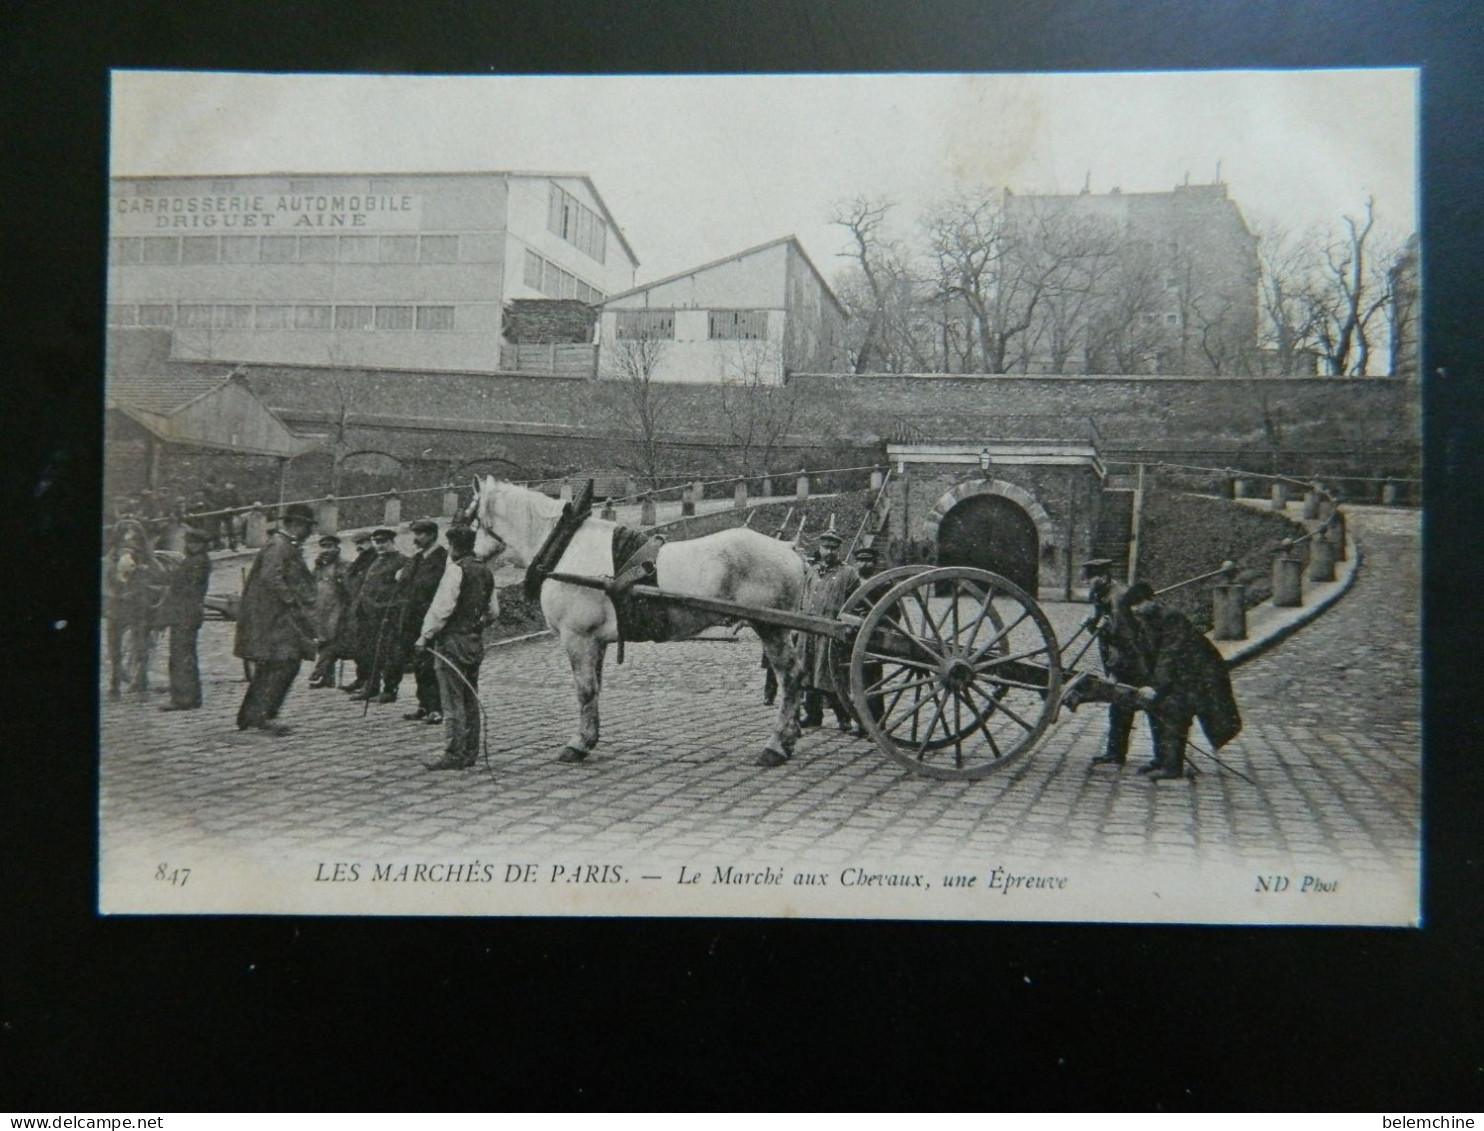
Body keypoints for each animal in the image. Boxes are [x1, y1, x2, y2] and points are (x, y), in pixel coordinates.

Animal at [465, 474, 807, 765]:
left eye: (471, 518)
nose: (469, 556)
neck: (567, 548)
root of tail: (789, 548)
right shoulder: (596, 641)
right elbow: (595, 688)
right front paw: (590, 739)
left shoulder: (578, 637)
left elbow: (584, 689)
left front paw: (577, 744)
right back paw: (788, 739)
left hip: (772, 628)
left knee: (790, 676)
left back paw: (775, 746)